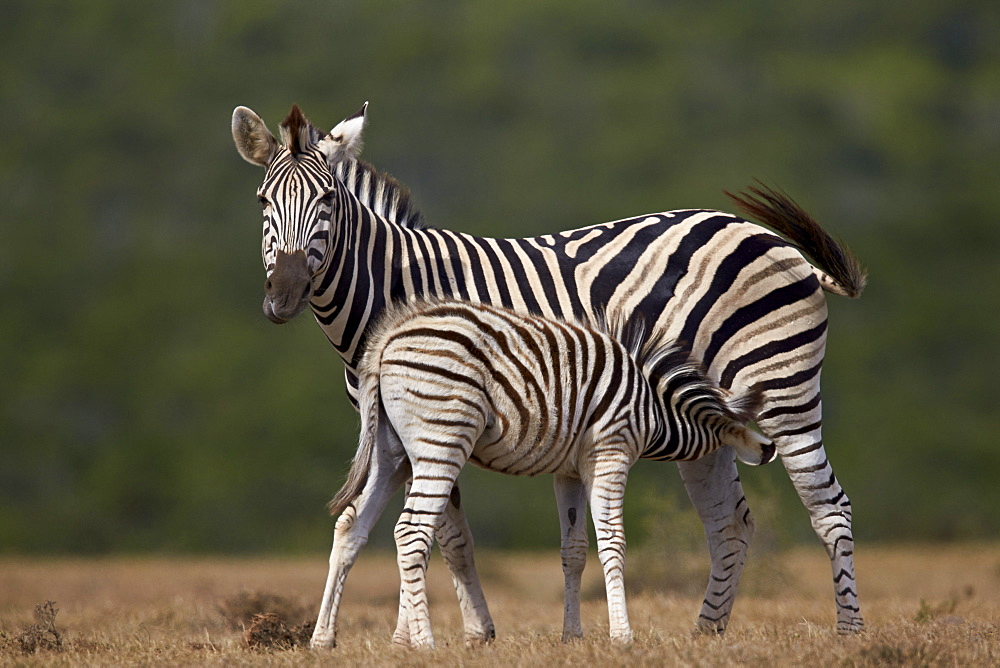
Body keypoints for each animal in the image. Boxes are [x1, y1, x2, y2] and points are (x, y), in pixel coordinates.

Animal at [312, 298, 772, 648]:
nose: (766, 449)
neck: (653, 407)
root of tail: (386, 339)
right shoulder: (611, 451)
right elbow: (613, 541)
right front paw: (622, 637)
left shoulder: (569, 471)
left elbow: (574, 551)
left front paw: (573, 636)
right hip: (440, 442)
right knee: (411, 531)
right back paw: (425, 644)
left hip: (391, 454)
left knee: (351, 527)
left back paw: (322, 639)